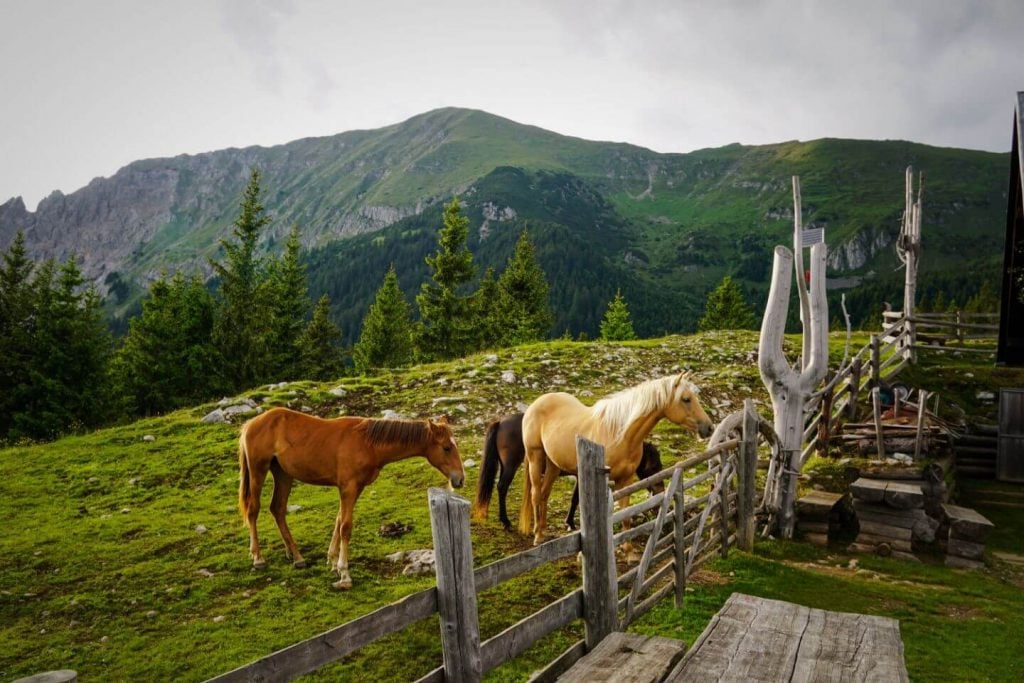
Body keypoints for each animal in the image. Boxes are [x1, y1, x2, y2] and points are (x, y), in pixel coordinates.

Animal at [235, 409, 464, 589]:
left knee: (278, 509)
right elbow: (345, 526)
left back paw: (296, 556)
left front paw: (332, 561)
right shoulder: (348, 488)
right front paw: (344, 574)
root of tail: (251, 424)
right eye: (446, 447)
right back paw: (258, 558)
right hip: (258, 471)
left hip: (283, 474)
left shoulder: (355, 489)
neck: (368, 443)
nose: (460, 479)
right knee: (254, 509)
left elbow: (338, 521)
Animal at [471, 413, 663, 532]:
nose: (660, 490)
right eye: (654, 466)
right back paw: (506, 522)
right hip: (511, 465)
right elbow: (576, 499)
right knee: (502, 487)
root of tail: (501, 422)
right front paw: (570, 523)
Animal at [520, 370, 712, 548]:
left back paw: (543, 531)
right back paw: (537, 536)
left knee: (545, 494)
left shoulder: (625, 480)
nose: (709, 427)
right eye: (686, 399)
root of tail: (536, 404)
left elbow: (626, 516)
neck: (619, 434)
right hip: (535, 457)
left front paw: (628, 550)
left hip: (553, 465)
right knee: (536, 494)